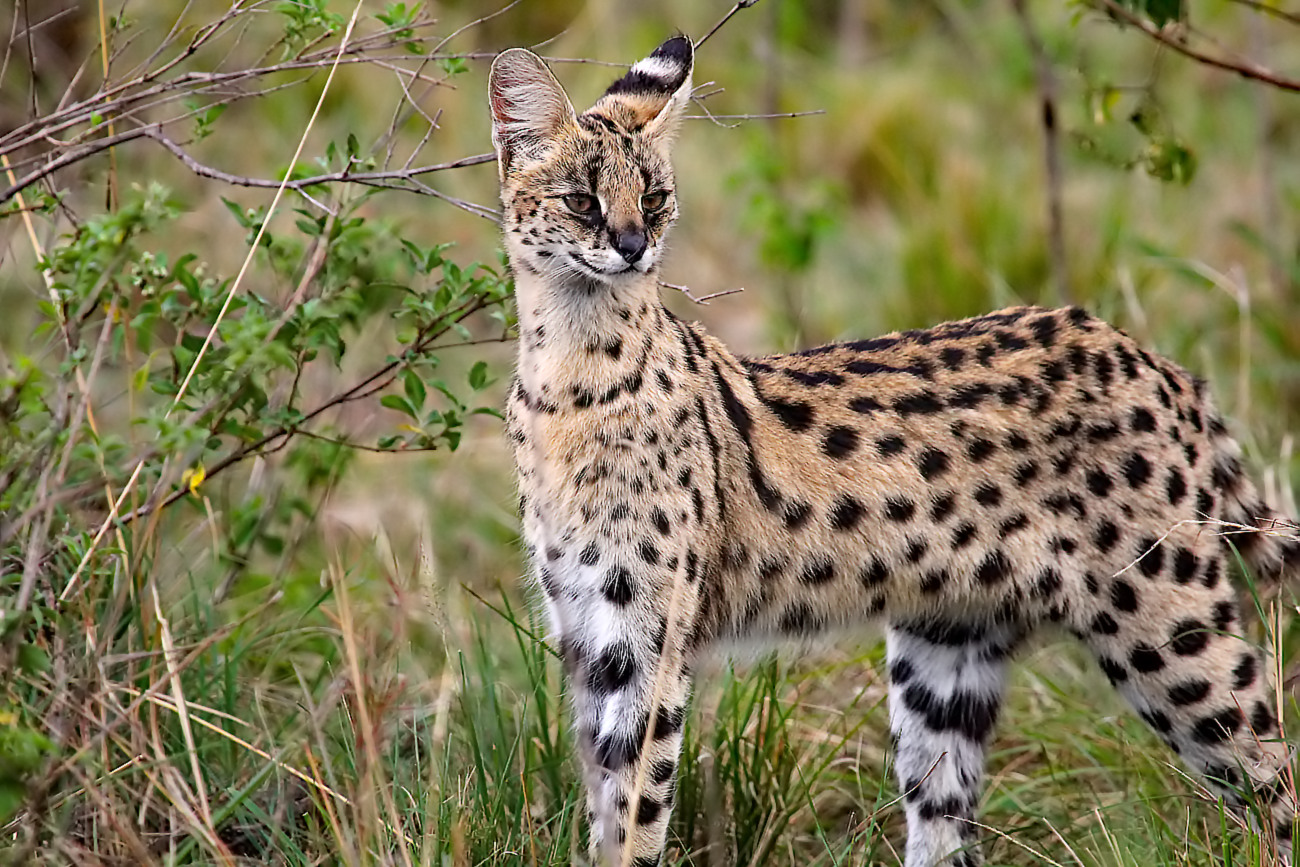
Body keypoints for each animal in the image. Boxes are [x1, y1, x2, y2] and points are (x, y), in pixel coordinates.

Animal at [488, 33, 1300, 867]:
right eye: (581, 199)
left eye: (651, 197)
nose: (632, 245)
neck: (569, 376)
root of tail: (1154, 359)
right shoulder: (586, 631)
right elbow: (605, 800)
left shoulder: (647, 636)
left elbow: (636, 808)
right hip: (946, 651)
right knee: (946, 821)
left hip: (1171, 628)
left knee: (1273, 776)